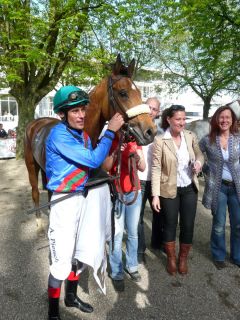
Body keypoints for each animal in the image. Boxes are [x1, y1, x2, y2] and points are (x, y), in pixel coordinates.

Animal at [23, 55, 157, 230]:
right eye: (123, 93)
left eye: (141, 93)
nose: (150, 132)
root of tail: (35, 123)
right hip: (31, 166)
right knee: (35, 191)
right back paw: (39, 221)